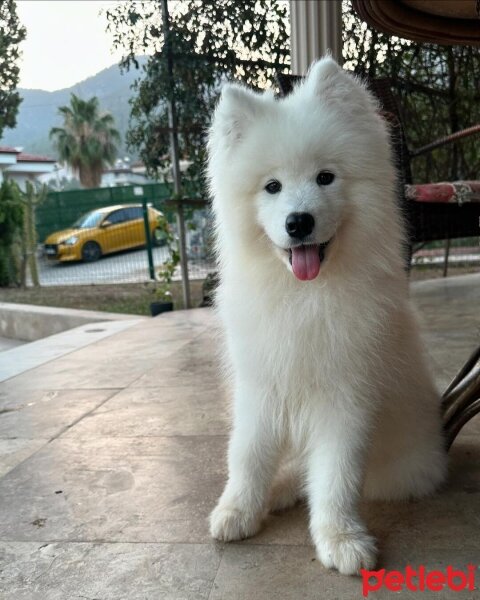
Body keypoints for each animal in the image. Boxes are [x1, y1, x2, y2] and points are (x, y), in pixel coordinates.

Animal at [208, 57, 448, 576]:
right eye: (272, 186)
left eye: (325, 178)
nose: (299, 222)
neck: (305, 296)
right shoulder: (260, 386)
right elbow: (247, 455)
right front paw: (236, 510)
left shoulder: (346, 396)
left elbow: (336, 475)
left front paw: (341, 539)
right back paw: (275, 492)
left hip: (406, 467)